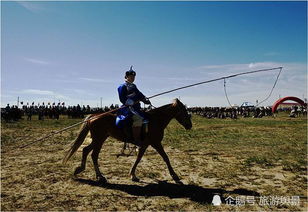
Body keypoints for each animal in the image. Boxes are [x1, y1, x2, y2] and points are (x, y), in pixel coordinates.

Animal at [63, 99, 191, 184]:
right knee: (93, 155)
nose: (190, 125)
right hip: (99, 139)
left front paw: (132, 174)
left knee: (86, 150)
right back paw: (99, 176)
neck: (155, 120)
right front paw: (174, 175)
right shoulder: (156, 143)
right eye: (184, 111)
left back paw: (81, 170)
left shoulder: (145, 144)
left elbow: (138, 158)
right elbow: (165, 157)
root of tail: (93, 116)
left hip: (99, 139)